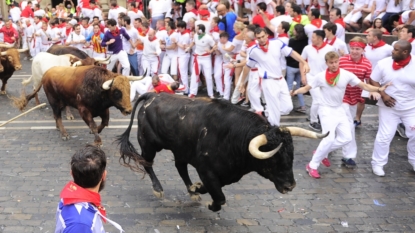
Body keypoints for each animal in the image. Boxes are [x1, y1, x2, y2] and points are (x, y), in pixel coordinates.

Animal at [13, 65, 145, 146]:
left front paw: (95, 132)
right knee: (58, 116)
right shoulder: (84, 110)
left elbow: (104, 123)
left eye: (129, 89)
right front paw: (98, 141)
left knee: (56, 116)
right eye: (117, 92)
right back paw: (64, 134)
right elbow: (93, 124)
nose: (128, 110)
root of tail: (47, 73)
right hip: (54, 101)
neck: (97, 86)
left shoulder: (103, 110)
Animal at [117, 92, 328, 212]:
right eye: (273, 160)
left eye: (291, 156)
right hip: (149, 144)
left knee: (180, 167)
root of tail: (152, 95)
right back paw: (158, 189)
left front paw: (196, 188)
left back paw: (191, 191)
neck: (235, 136)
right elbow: (219, 196)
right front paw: (211, 203)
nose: (290, 186)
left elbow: (214, 188)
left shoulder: (227, 174)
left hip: (180, 149)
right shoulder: (206, 169)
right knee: (147, 163)